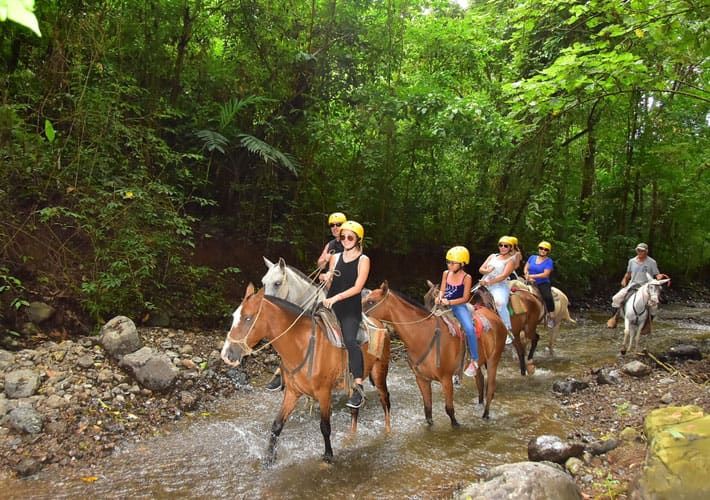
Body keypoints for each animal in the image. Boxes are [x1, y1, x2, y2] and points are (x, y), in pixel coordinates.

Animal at [222, 284, 392, 466]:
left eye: (248, 318)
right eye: (234, 316)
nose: (226, 355)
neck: (302, 346)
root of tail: (380, 324)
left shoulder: (324, 393)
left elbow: (325, 426)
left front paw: (328, 456)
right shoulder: (292, 392)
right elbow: (277, 425)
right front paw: (269, 458)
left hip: (379, 373)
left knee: (385, 400)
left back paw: (388, 432)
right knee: (355, 409)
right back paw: (351, 437)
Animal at [364, 282, 508, 422]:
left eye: (371, 301)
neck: (424, 336)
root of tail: (492, 313)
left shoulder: (446, 379)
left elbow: (450, 410)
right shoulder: (422, 379)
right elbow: (428, 411)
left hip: (493, 360)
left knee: (490, 388)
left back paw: (485, 415)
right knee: (480, 382)